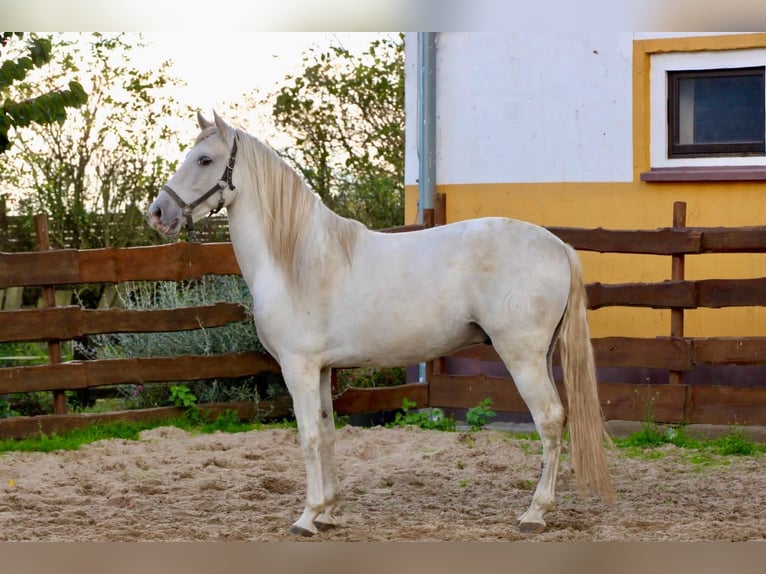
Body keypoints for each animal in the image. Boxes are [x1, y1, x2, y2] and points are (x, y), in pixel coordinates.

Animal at [148, 111, 614, 536]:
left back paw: (534, 513)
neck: (297, 259)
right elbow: (328, 432)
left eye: (204, 159)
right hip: (542, 355)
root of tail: (557, 245)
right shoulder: (322, 369)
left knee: (550, 420)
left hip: (522, 356)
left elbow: (308, 436)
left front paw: (307, 517)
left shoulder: (298, 368)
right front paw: (330, 512)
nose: (157, 212)